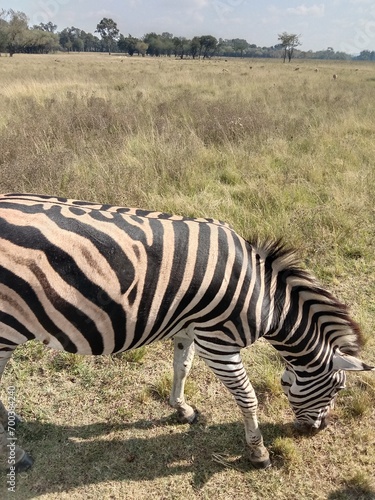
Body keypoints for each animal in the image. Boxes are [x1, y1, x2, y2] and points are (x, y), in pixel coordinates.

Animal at [0, 193, 374, 470]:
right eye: (338, 389)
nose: (317, 430)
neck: (265, 300)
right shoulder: (218, 343)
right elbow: (248, 397)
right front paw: (258, 453)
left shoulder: (190, 328)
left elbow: (182, 367)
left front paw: (182, 409)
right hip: (6, 329)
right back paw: (18, 457)